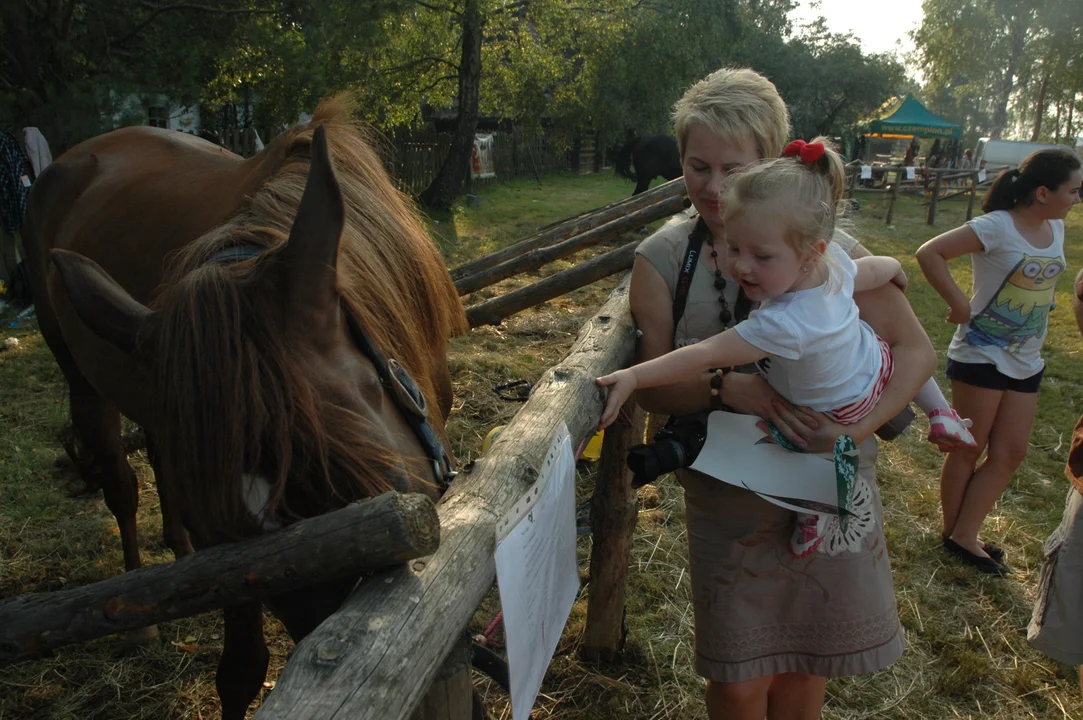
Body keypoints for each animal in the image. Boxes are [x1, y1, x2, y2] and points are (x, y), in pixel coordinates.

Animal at [23, 98, 467, 714]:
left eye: (390, 494)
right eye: (231, 540)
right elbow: (240, 667)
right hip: (85, 382)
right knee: (122, 486)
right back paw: (142, 616)